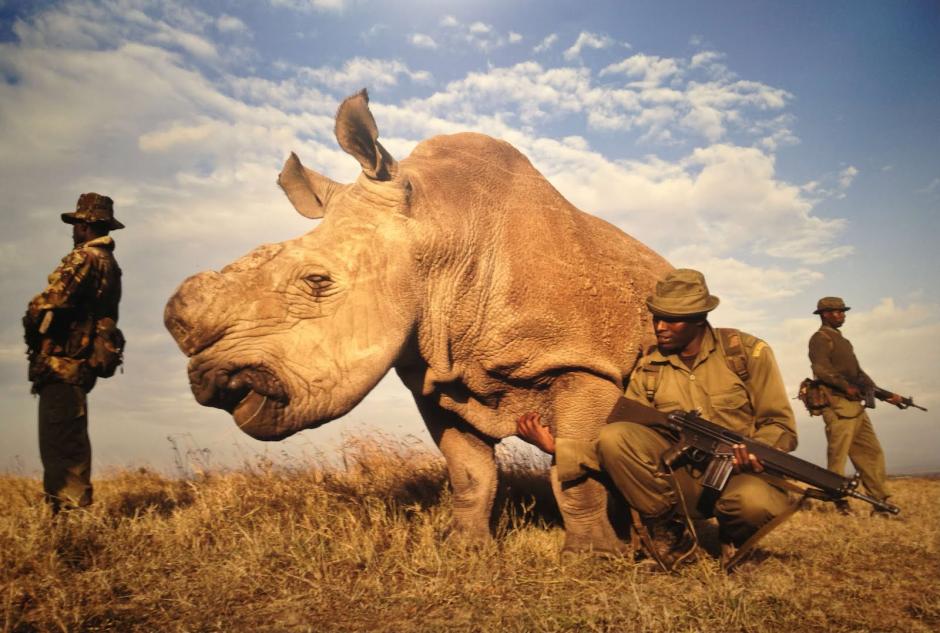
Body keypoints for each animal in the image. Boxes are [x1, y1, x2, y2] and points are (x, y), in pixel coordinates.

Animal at [165, 90, 672, 552]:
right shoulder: (437, 376)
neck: (443, 232)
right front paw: (465, 549)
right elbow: (469, 472)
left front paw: (593, 557)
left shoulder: (584, 363)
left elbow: (574, 471)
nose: (212, 382)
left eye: (316, 281)